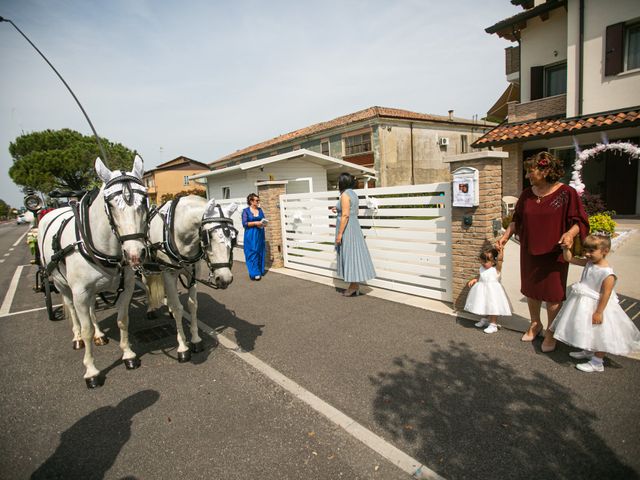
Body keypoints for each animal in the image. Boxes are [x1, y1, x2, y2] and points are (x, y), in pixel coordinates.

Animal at [39, 158, 149, 390]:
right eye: (111, 204)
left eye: (144, 200)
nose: (135, 254)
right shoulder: (80, 292)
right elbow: (86, 328)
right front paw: (91, 371)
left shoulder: (126, 287)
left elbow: (122, 320)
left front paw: (128, 354)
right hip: (62, 285)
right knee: (73, 311)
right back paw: (77, 338)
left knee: (91, 310)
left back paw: (100, 335)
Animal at [144, 193, 239, 362]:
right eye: (209, 237)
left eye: (233, 238)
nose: (225, 278)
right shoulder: (168, 272)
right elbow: (178, 308)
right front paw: (183, 347)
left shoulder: (193, 273)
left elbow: (192, 305)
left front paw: (195, 340)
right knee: (146, 286)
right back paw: (150, 309)